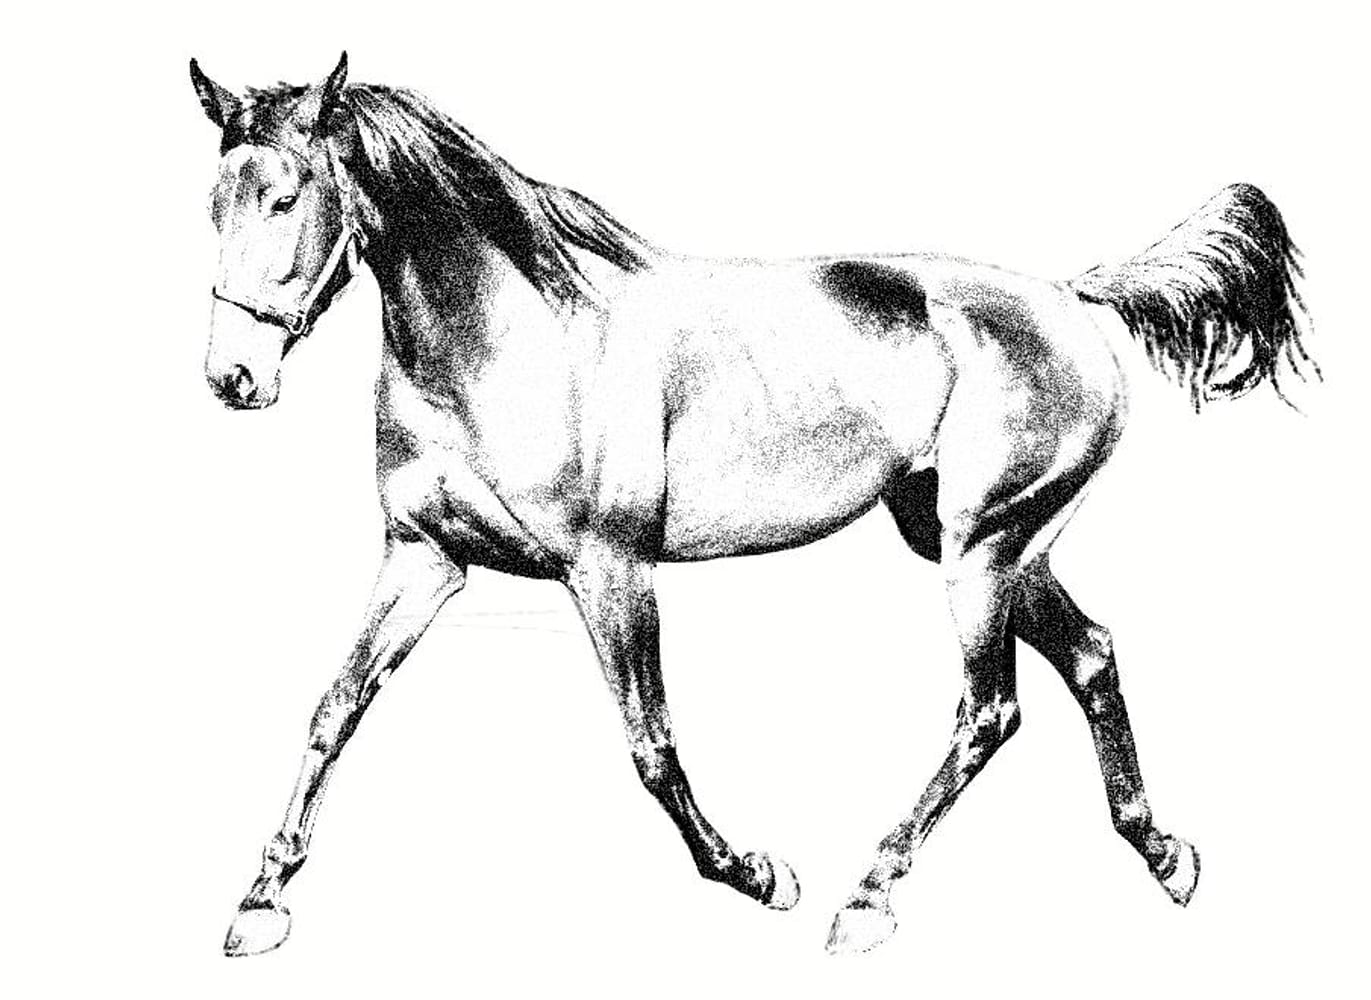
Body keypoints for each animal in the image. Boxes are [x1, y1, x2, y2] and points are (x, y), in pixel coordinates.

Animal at [190, 53, 1317, 957]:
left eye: (285, 197)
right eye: (213, 203)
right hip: (985, 545)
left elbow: (650, 745)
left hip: (983, 551)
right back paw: (1165, 855)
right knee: (1089, 654)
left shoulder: (610, 569)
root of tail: (1073, 297)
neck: (515, 338)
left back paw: (868, 897)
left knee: (989, 710)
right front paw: (259, 901)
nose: (233, 377)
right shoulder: (422, 557)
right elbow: (333, 707)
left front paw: (759, 874)